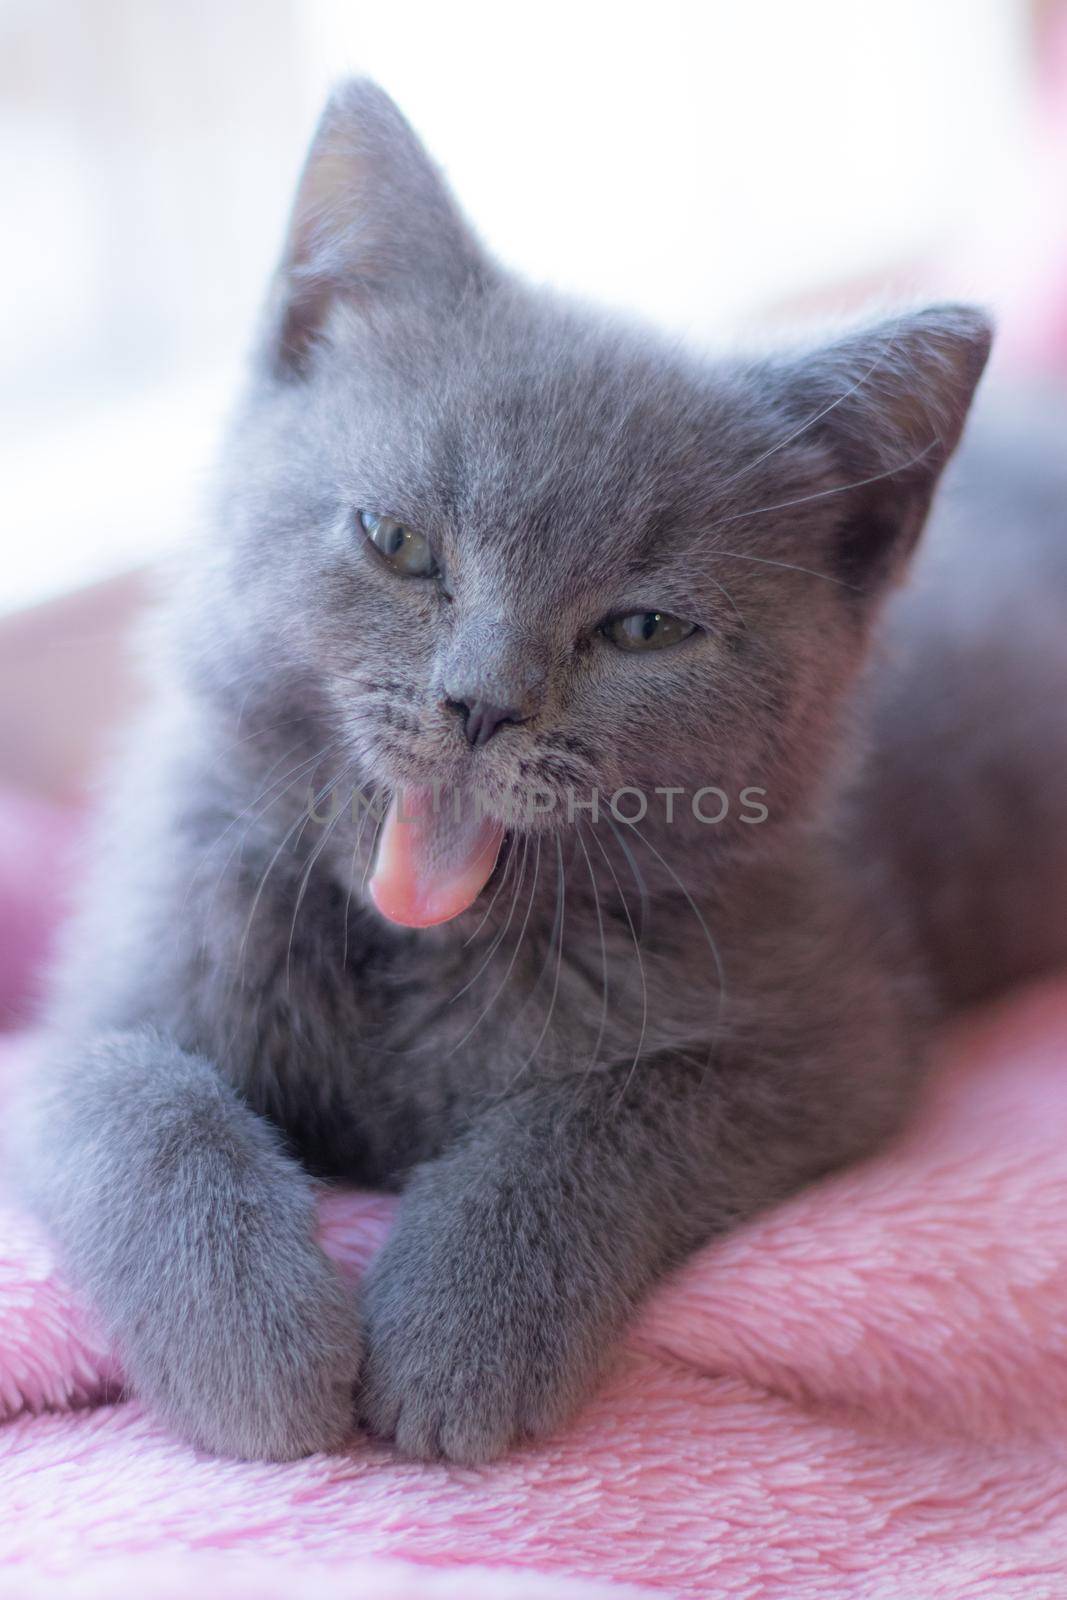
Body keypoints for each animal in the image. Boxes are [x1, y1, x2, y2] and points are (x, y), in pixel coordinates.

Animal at [20, 84, 1067, 1465]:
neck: (412, 954)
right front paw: (250, 1343)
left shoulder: (834, 1036)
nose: (480, 702)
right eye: (396, 541)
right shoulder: (89, 1008)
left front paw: (457, 1328)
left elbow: (596, 1118)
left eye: (642, 628)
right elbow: (140, 1105)